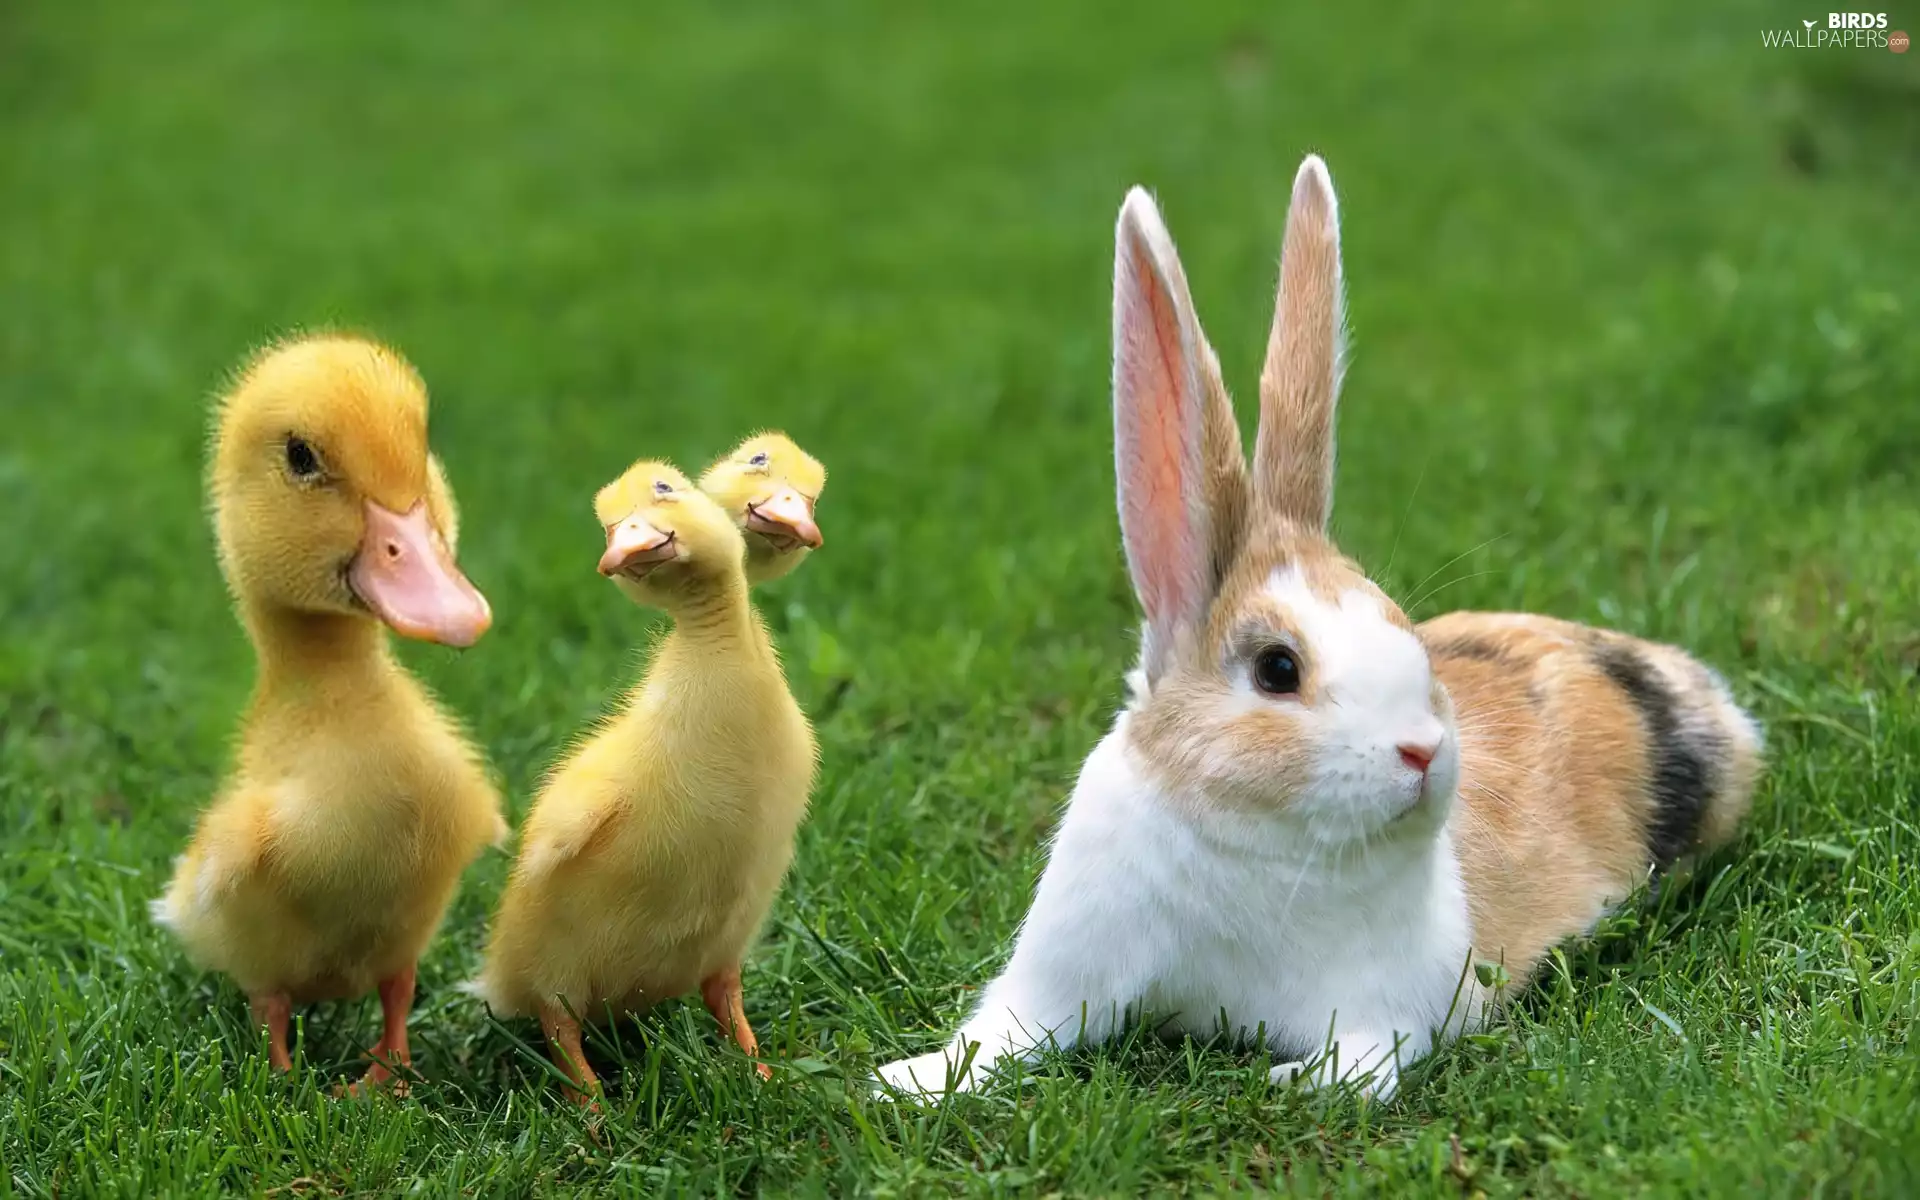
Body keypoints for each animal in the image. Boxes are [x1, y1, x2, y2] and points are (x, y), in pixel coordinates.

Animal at [875, 156, 1764, 1102]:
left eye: (1403, 627)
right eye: (1276, 669)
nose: (1423, 751)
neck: (1250, 843)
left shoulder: (1395, 1010)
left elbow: (1363, 1063)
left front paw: (1294, 1081)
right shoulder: (1060, 977)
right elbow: (1005, 1032)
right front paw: (905, 1080)